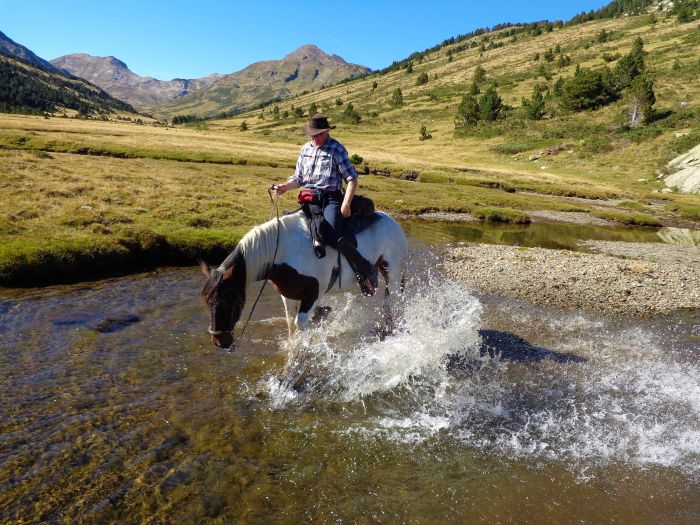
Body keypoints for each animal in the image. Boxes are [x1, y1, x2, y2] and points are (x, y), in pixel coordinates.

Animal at [197, 209, 408, 348]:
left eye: (230, 301)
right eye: (207, 302)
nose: (219, 341)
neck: (284, 251)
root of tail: (392, 222)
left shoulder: (313, 294)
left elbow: (302, 323)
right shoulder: (288, 295)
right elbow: (291, 325)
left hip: (392, 272)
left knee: (391, 301)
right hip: (357, 284)